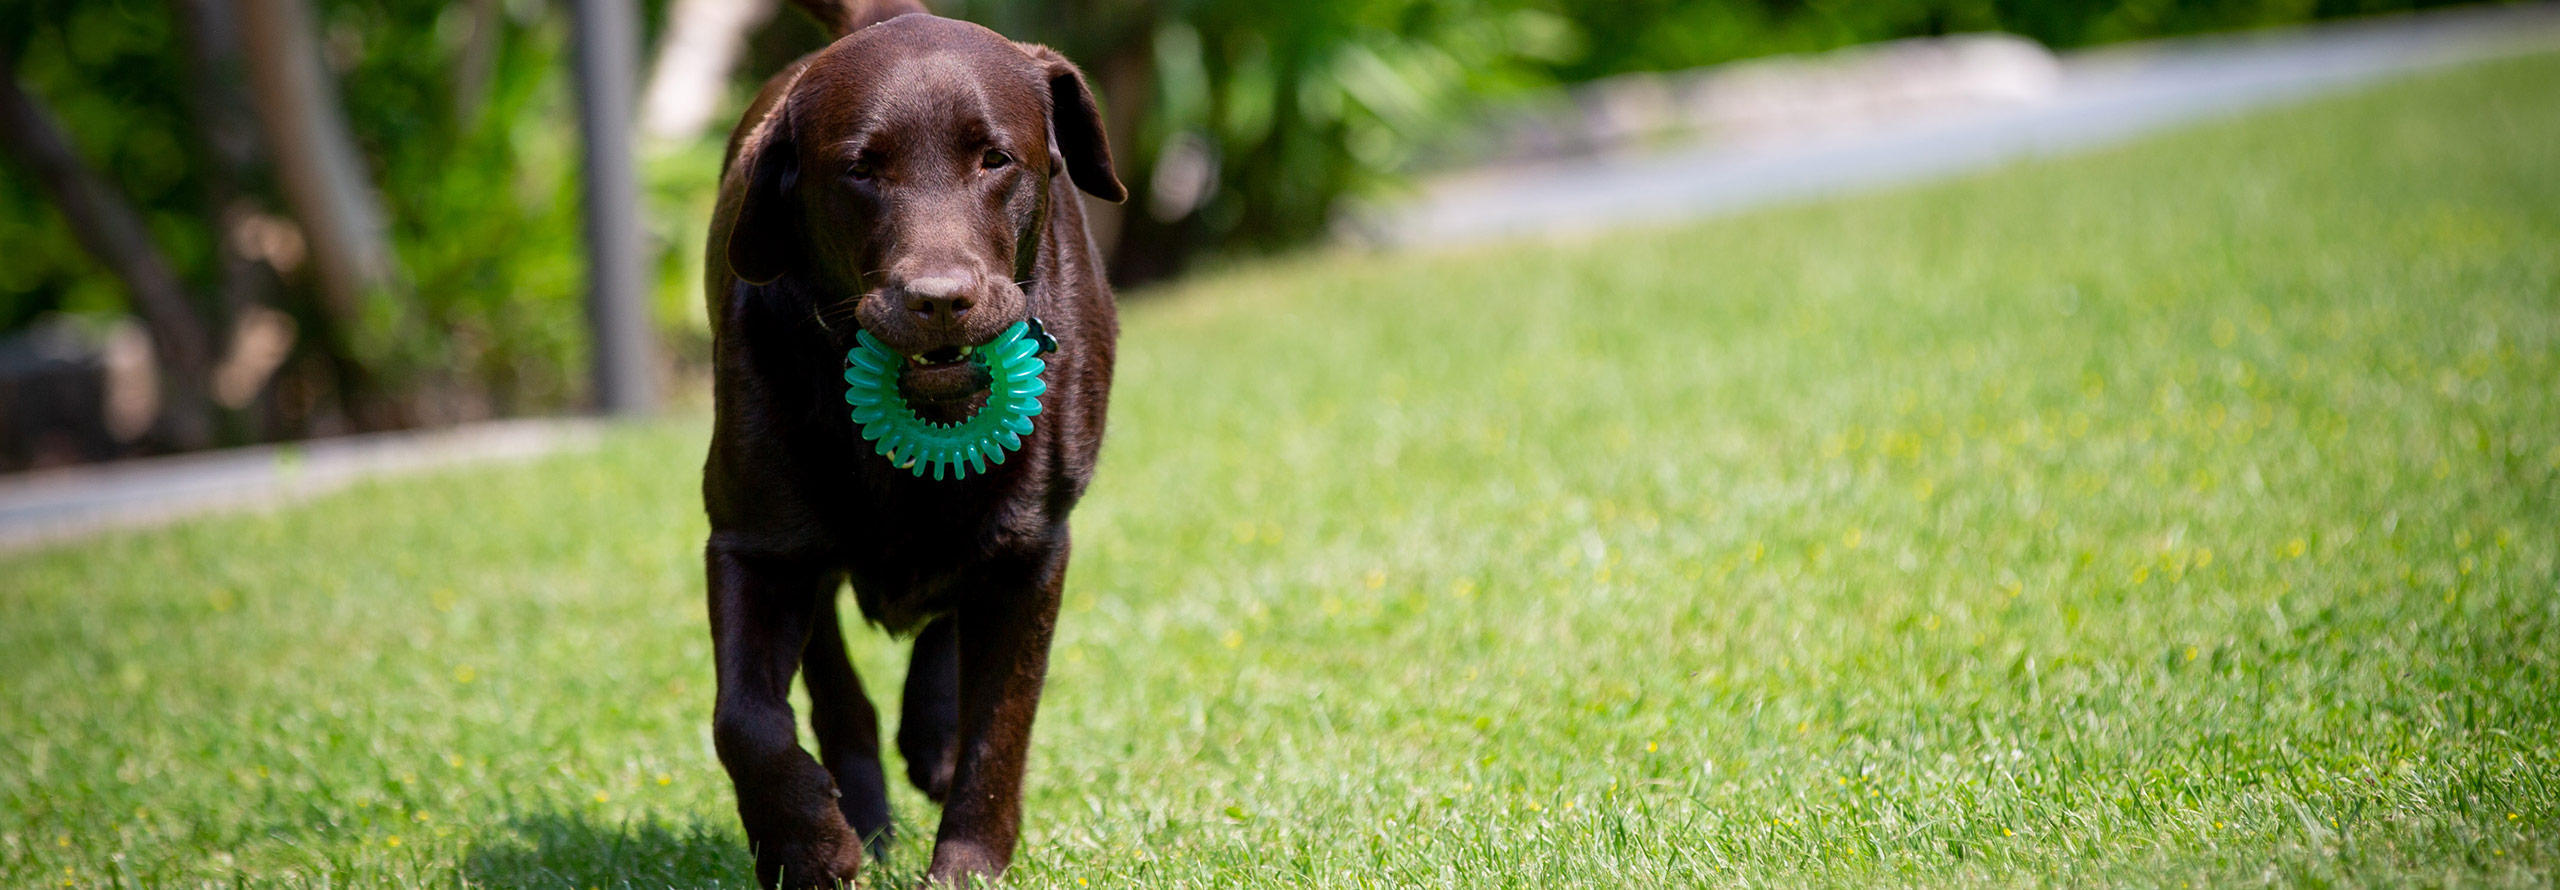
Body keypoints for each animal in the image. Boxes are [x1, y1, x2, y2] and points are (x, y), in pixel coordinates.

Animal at [701, 3, 1131, 884]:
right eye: (860, 170)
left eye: (995, 159)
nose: (939, 299)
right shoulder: (751, 543)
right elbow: (745, 718)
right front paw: (808, 846)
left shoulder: (1033, 551)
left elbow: (999, 730)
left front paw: (965, 864)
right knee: (834, 686)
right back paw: (858, 811)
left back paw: (931, 741)